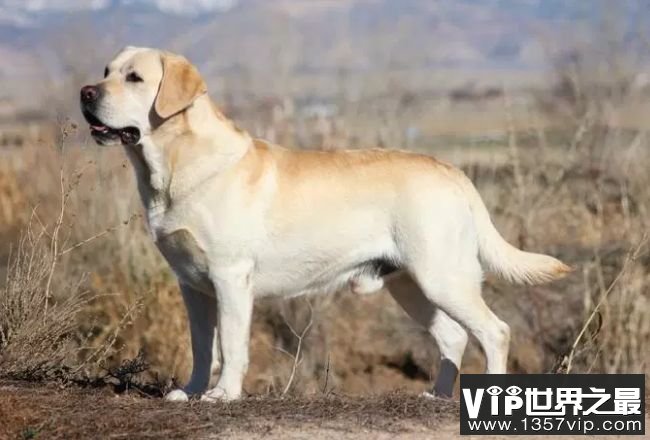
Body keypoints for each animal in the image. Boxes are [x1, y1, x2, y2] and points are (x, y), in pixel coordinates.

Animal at [79, 46, 568, 400]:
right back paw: (437, 396)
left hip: (442, 276)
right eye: (105, 70)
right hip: (411, 285)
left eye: (134, 78)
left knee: (494, 331)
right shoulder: (192, 285)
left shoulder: (230, 276)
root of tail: (453, 171)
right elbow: (202, 346)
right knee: (453, 337)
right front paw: (192, 392)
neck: (176, 164)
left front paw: (224, 395)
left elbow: (232, 345)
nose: (85, 92)